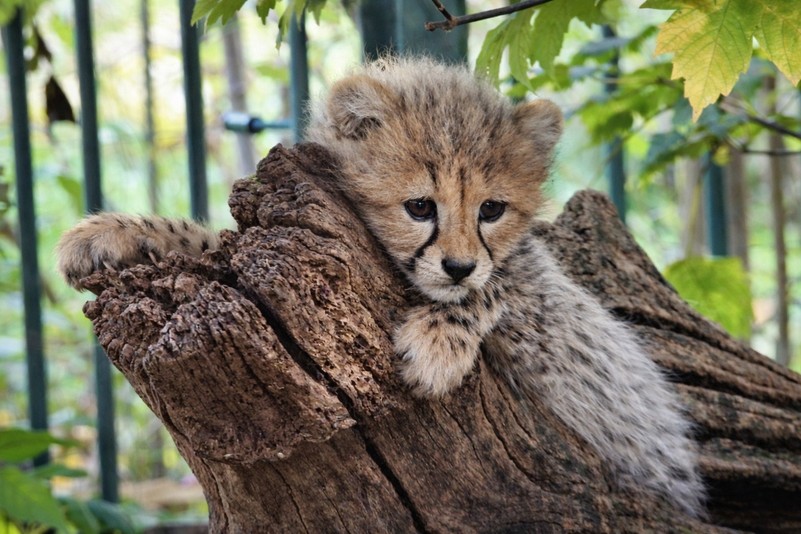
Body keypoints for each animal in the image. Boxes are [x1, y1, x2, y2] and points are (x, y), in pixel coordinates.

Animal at [56, 56, 704, 517]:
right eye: (419, 206)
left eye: (492, 209)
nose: (459, 266)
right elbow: (207, 240)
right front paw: (114, 232)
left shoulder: (560, 320)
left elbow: (505, 291)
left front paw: (439, 342)